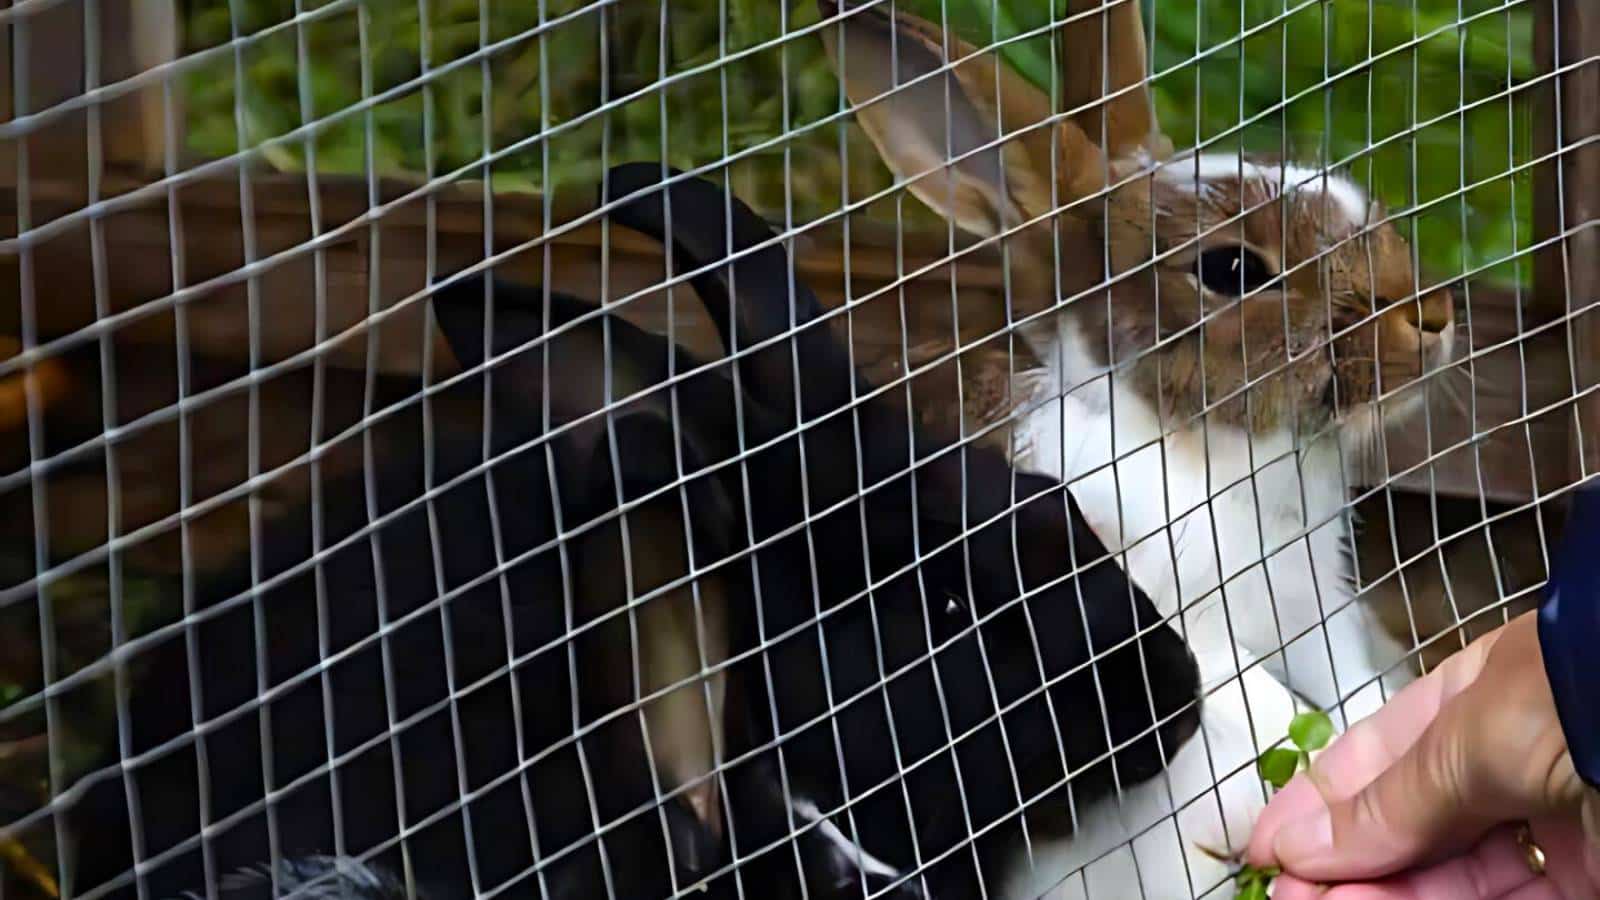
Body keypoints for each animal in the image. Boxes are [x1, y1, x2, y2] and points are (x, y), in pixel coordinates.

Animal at [818, 1, 1457, 895]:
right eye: (1230, 270)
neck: (1204, 445)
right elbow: (1243, 693)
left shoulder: (1318, 612)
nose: (1430, 317)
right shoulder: (1155, 602)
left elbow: (1355, 692)